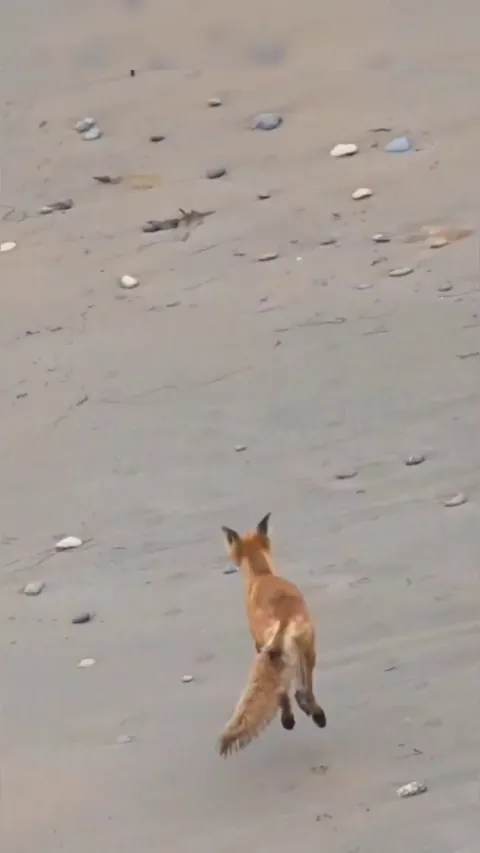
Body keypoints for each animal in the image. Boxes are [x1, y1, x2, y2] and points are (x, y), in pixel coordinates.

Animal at [218, 513, 326, 757]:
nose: (228, 567)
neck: (263, 574)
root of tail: (284, 617)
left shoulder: (258, 644)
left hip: (286, 652)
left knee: (292, 691)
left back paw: (298, 716)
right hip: (306, 649)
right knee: (303, 690)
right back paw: (315, 714)